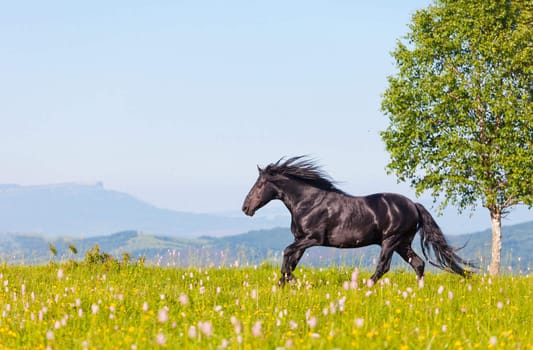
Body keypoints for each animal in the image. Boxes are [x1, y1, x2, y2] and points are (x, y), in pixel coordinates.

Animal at [242, 157, 474, 286]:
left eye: (260, 184)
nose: (245, 208)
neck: (309, 202)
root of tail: (413, 205)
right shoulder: (301, 240)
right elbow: (290, 261)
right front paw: (282, 286)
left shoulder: (312, 238)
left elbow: (287, 253)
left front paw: (292, 282)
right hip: (402, 243)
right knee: (418, 263)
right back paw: (419, 290)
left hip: (391, 240)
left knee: (383, 267)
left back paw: (364, 287)